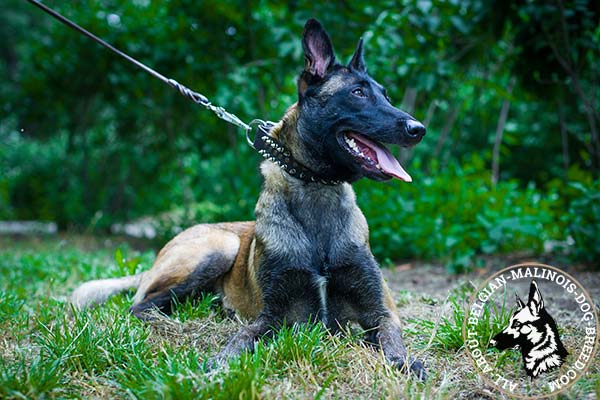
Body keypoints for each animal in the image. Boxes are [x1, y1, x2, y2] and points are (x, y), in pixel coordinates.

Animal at [71, 18, 426, 380]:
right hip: (219, 247)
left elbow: (392, 338)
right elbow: (243, 336)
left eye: (386, 95)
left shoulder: (380, 311)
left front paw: (406, 363)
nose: (418, 129)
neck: (317, 190)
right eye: (358, 93)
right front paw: (218, 364)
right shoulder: (273, 317)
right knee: (140, 306)